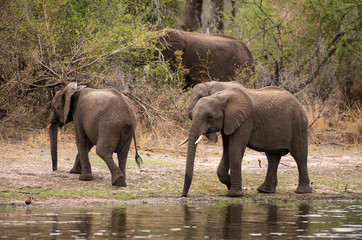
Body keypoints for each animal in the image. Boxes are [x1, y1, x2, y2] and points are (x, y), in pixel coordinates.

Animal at [182, 86, 312, 197]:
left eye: (209, 117)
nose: (184, 195)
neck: (221, 97)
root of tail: (298, 102)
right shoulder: (229, 122)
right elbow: (227, 150)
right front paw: (229, 184)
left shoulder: (246, 121)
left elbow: (234, 149)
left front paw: (233, 194)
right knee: (272, 157)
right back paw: (265, 191)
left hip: (298, 124)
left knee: (299, 155)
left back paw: (302, 192)